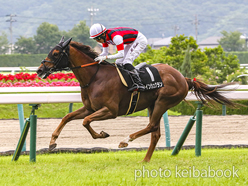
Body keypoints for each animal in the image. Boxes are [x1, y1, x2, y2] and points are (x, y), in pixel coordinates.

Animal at [35, 37, 235, 162]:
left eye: (55, 53)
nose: (39, 70)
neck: (95, 77)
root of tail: (183, 78)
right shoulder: (90, 108)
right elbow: (68, 117)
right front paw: (52, 142)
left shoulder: (111, 111)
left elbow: (85, 121)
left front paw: (102, 134)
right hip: (153, 105)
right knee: (155, 132)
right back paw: (145, 159)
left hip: (163, 102)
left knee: (152, 127)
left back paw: (126, 140)